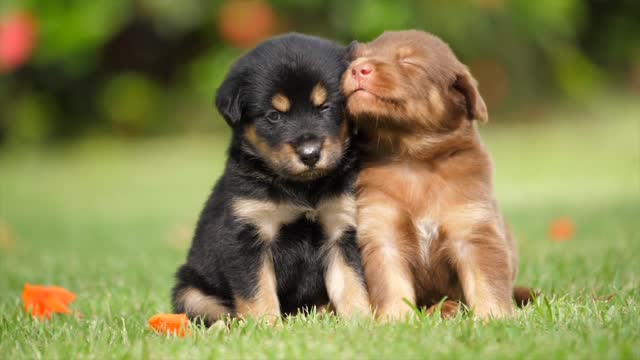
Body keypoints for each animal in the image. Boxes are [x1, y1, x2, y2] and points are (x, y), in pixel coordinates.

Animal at [172, 34, 370, 326]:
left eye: (325, 107)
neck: (303, 188)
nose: (310, 154)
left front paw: (361, 322)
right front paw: (266, 326)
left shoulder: (341, 228)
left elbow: (351, 283)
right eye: (274, 115)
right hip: (190, 291)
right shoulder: (248, 235)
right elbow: (257, 291)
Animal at [342, 29, 532, 320]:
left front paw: (493, 317)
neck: (412, 159)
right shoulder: (382, 231)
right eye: (358, 57)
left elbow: (487, 282)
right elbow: (391, 283)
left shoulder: (473, 228)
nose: (357, 69)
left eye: (408, 62)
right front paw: (395, 319)